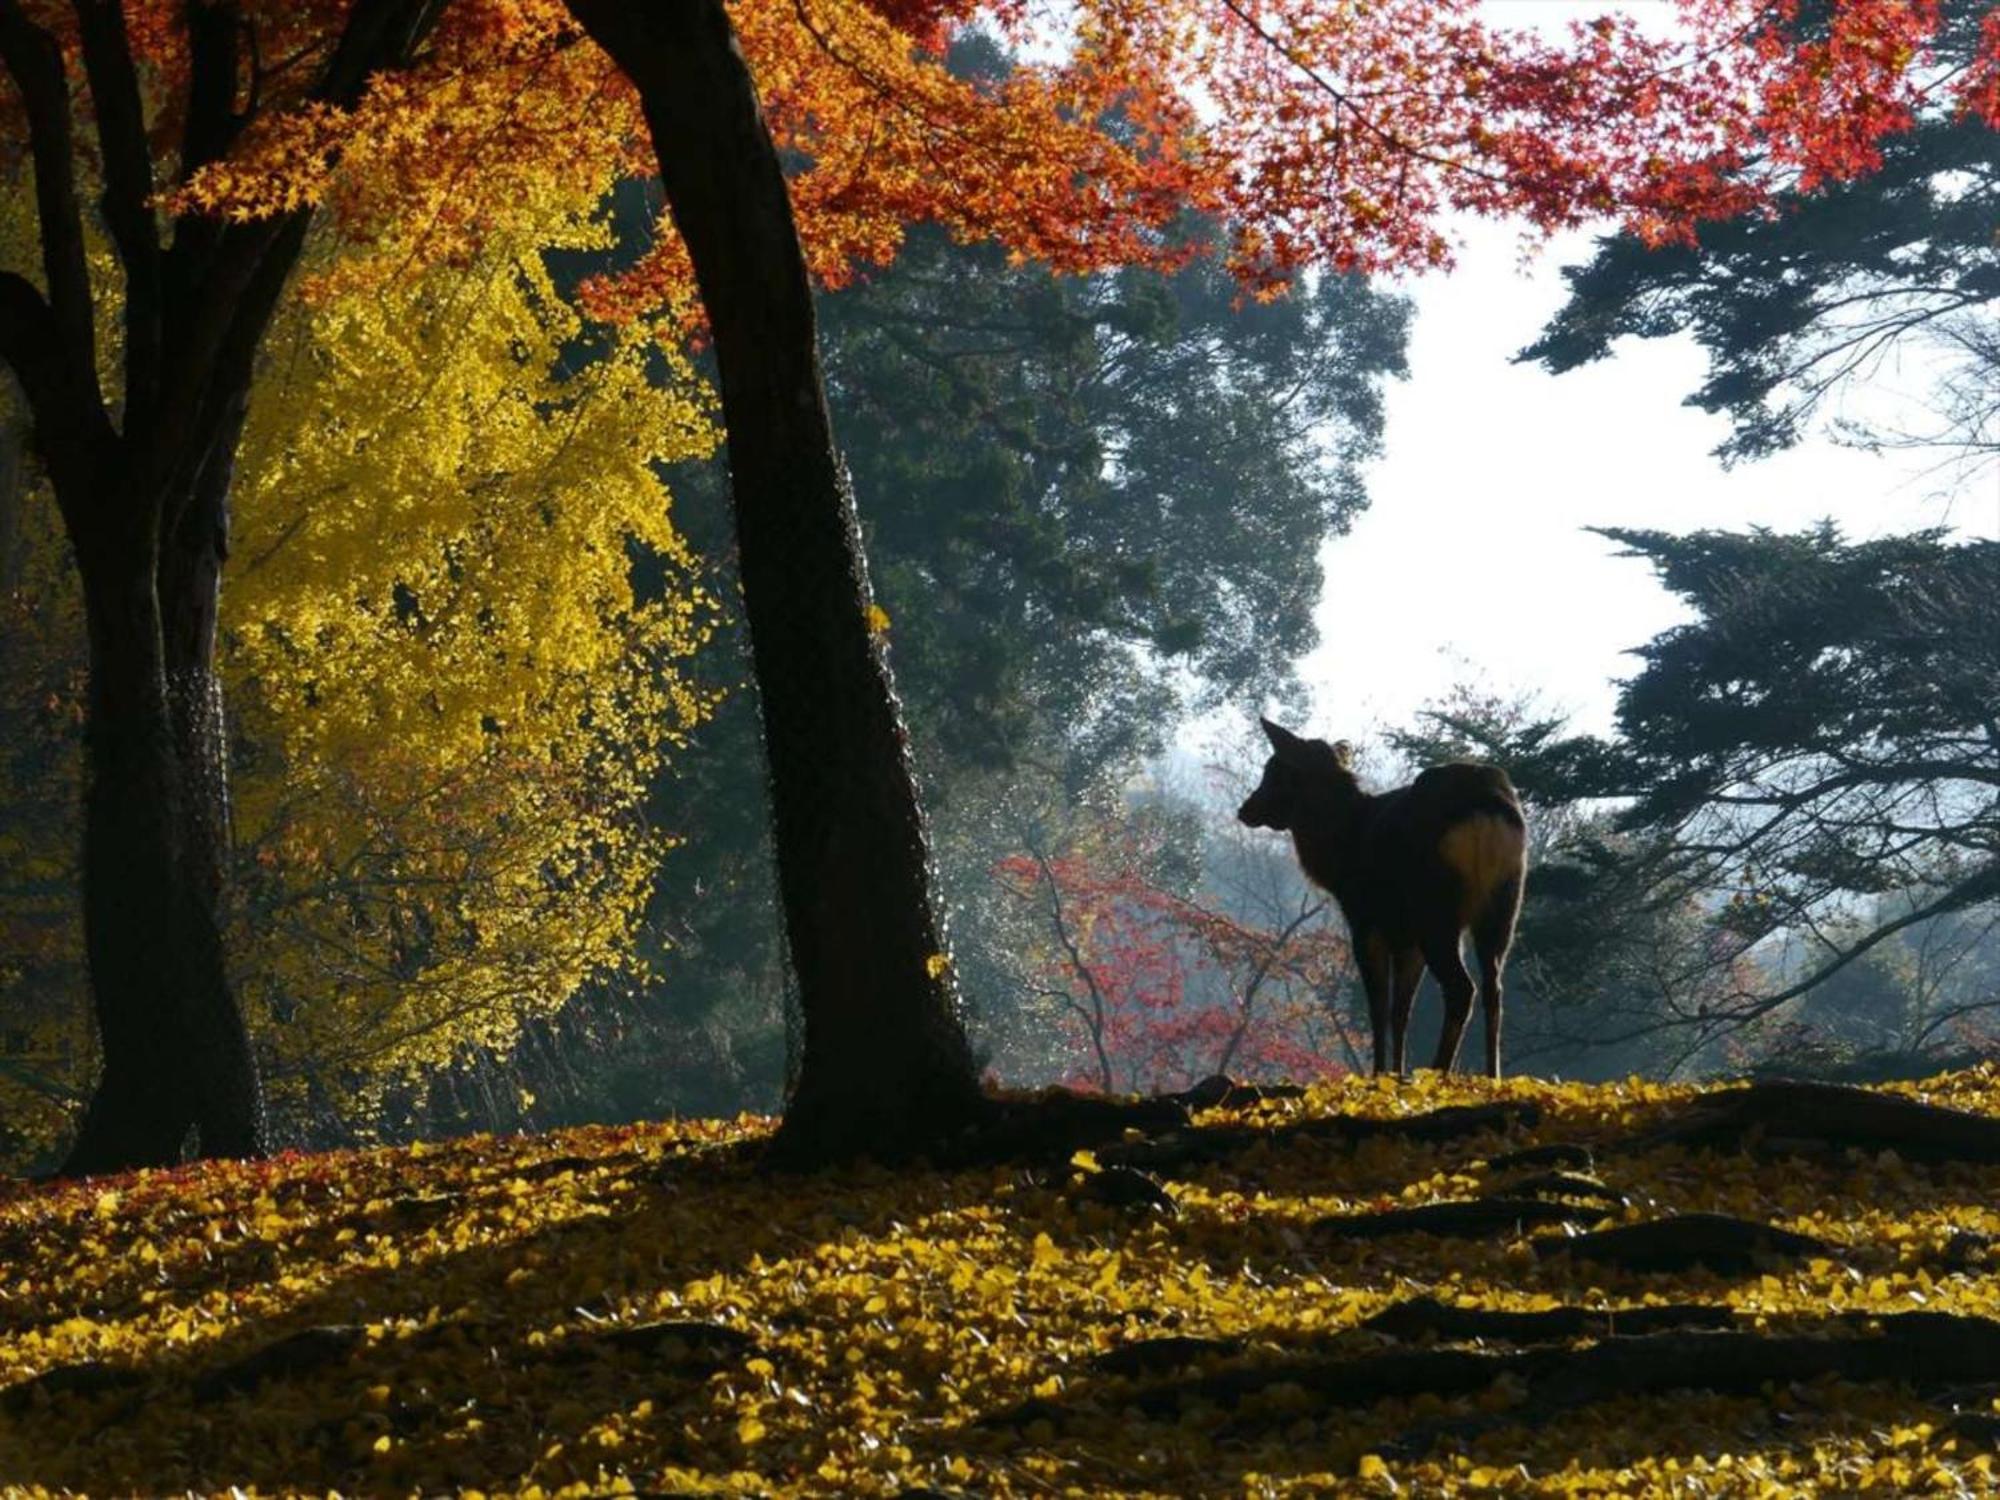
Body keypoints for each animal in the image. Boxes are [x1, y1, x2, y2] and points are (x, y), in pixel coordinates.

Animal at [1232, 720, 1528, 1080]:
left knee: (1461, 987)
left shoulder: (1366, 920)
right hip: (1504, 905)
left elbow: (1378, 1005)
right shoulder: (1406, 936)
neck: (1338, 860)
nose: (1245, 809)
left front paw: (1377, 1075)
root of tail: (1486, 808)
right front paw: (1395, 1074)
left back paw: (1438, 1071)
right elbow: (1400, 1010)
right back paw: (1490, 1074)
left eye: (1275, 771)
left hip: (1437, 910)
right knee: (1492, 986)